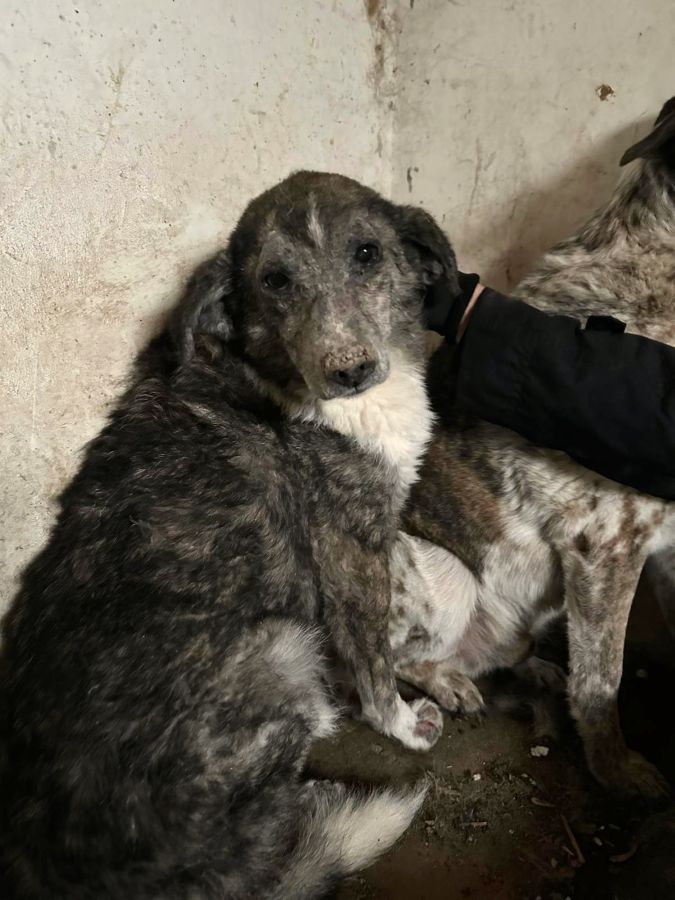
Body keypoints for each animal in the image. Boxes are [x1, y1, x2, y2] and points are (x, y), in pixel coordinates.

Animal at [0, 172, 459, 898]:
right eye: (274, 280)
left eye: (367, 254)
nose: (347, 371)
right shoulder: (349, 549)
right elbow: (374, 654)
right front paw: (403, 719)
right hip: (280, 646)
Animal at [388, 97, 675, 803]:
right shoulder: (606, 545)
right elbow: (603, 678)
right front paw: (616, 770)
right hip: (447, 575)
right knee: (388, 666)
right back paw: (447, 682)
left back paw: (530, 669)